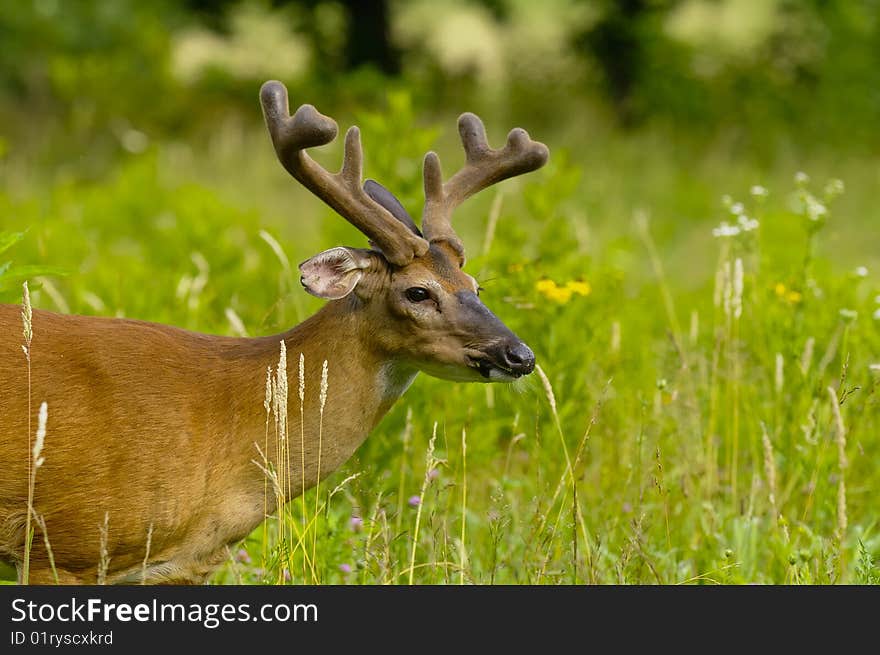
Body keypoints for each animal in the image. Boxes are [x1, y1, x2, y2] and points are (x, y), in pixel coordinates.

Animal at [0, 82, 552, 584]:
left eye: (476, 286)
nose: (519, 355)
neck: (225, 417)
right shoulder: (62, 543)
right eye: (418, 292)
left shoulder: (180, 567)